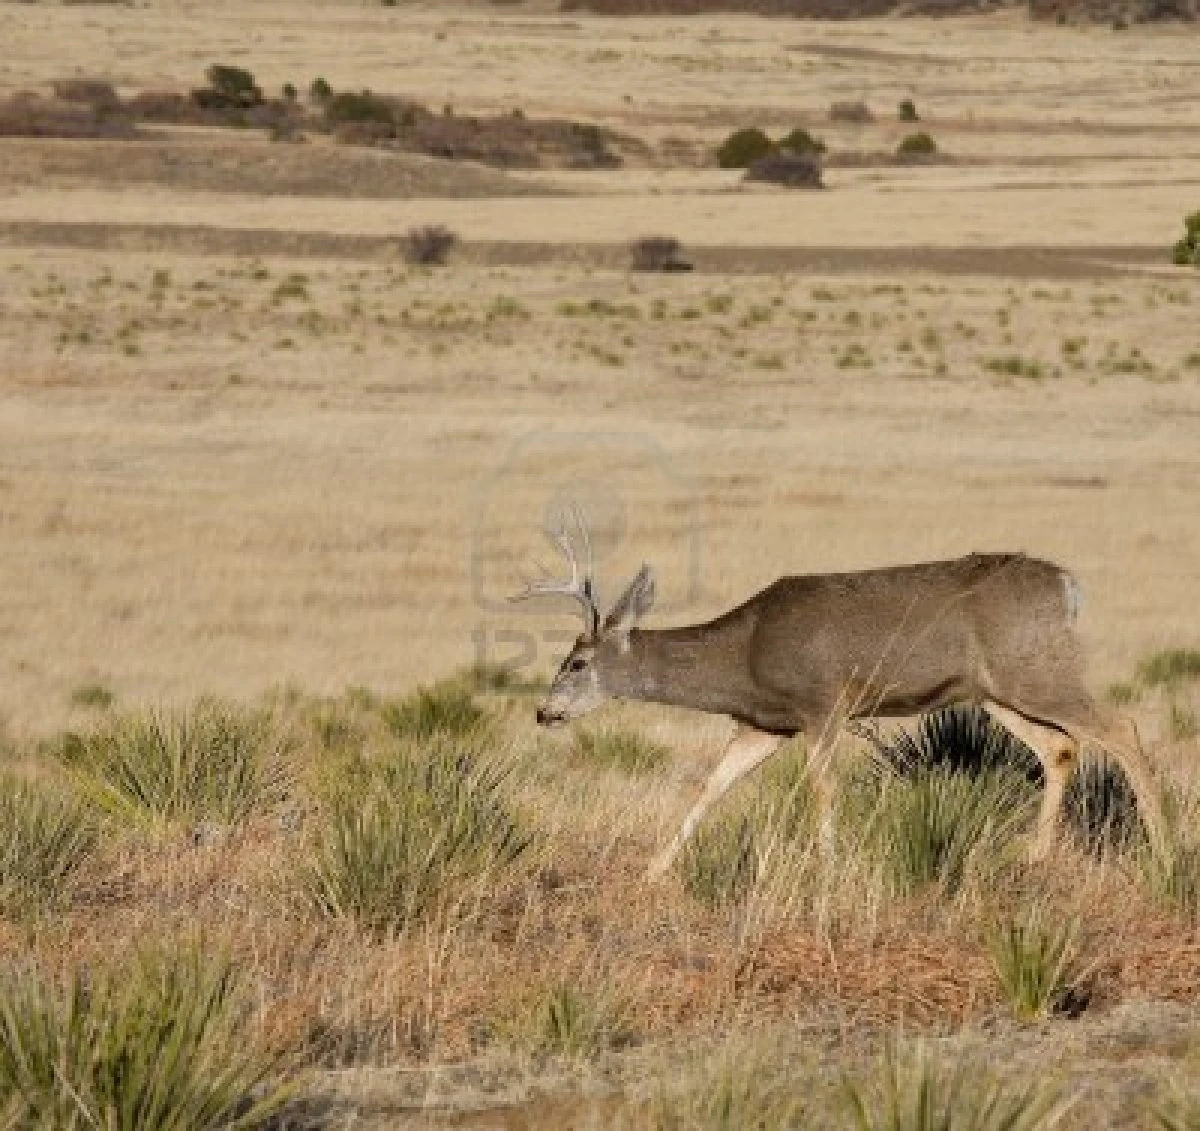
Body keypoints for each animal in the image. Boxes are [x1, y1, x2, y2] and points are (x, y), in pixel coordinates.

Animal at [511, 514, 1166, 879]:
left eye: (576, 662)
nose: (544, 712)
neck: (745, 653)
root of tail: (1067, 586)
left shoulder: (822, 703)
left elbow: (822, 788)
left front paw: (826, 866)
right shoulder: (764, 724)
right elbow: (710, 786)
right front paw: (653, 871)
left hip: (1034, 669)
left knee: (1122, 728)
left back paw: (1164, 848)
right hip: (994, 688)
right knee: (1061, 747)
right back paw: (1031, 856)